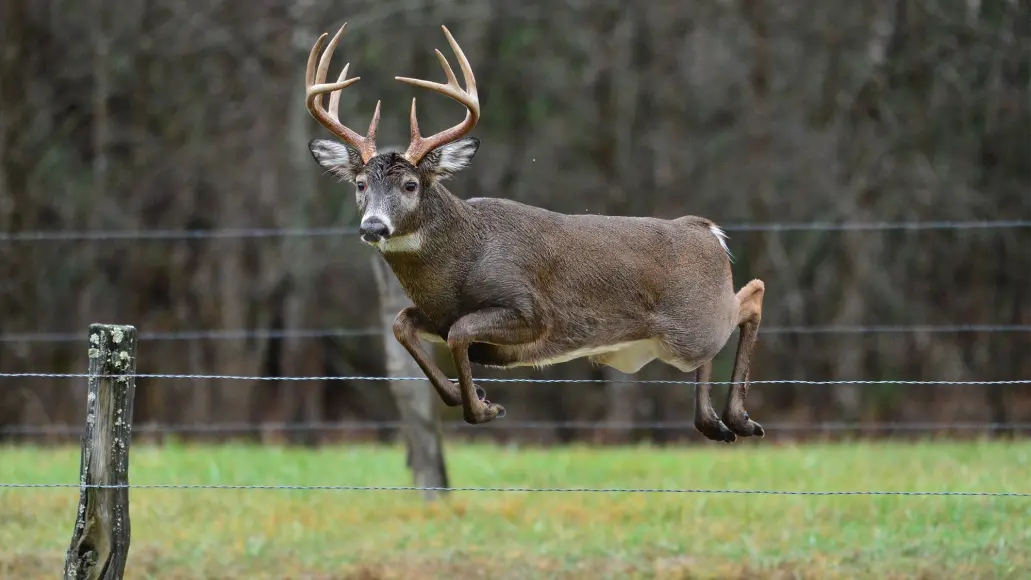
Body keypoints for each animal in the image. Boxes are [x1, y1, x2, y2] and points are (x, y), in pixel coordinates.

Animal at [303, 21, 767, 440]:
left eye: (410, 184)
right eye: (360, 184)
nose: (373, 225)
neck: (460, 265)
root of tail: (704, 230)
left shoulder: (533, 312)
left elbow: (460, 331)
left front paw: (482, 409)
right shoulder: (434, 314)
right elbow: (403, 324)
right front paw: (468, 396)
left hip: (693, 324)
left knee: (751, 296)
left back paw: (739, 419)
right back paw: (715, 424)